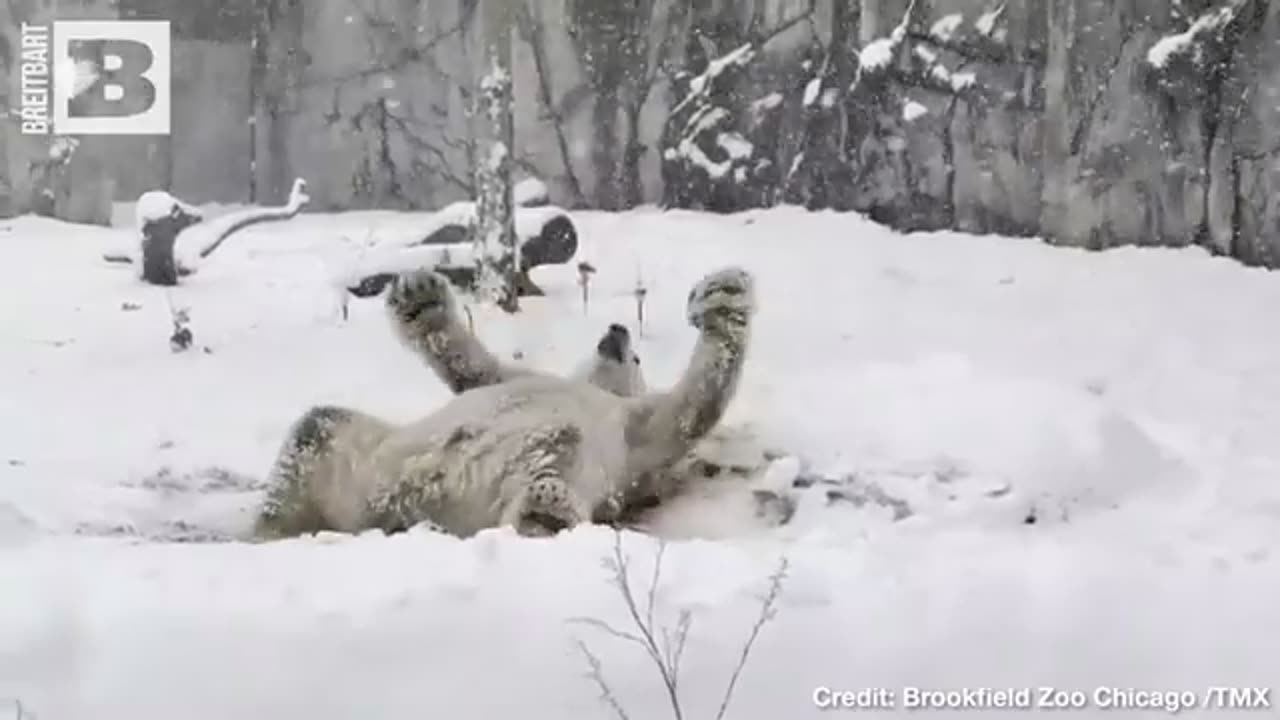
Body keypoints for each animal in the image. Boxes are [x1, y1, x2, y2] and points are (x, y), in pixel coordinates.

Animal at [252, 265, 747, 538]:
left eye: (638, 357)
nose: (618, 331)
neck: (592, 390)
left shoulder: (635, 433)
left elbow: (687, 412)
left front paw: (724, 300)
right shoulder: (519, 379)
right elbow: (472, 368)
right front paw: (419, 296)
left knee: (550, 473)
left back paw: (543, 514)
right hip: (365, 467)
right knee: (316, 431)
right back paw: (269, 530)